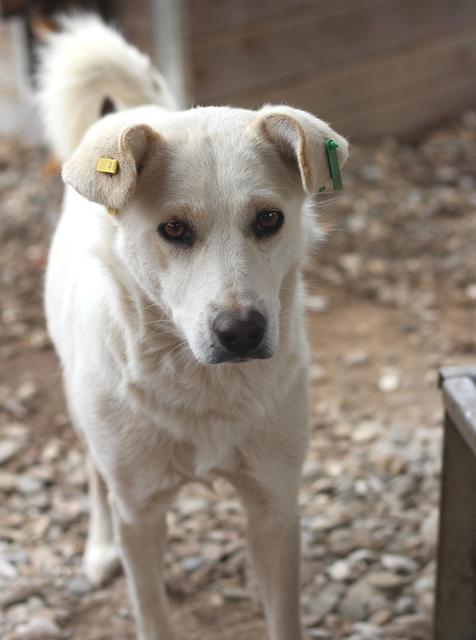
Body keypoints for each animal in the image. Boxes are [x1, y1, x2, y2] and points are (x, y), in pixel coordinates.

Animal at [37, 15, 348, 640]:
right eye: (174, 229)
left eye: (269, 219)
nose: (242, 332)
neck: (204, 385)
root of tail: (130, 111)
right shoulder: (139, 514)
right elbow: (151, 611)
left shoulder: (275, 505)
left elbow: (284, 616)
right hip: (85, 412)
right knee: (93, 472)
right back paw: (98, 549)